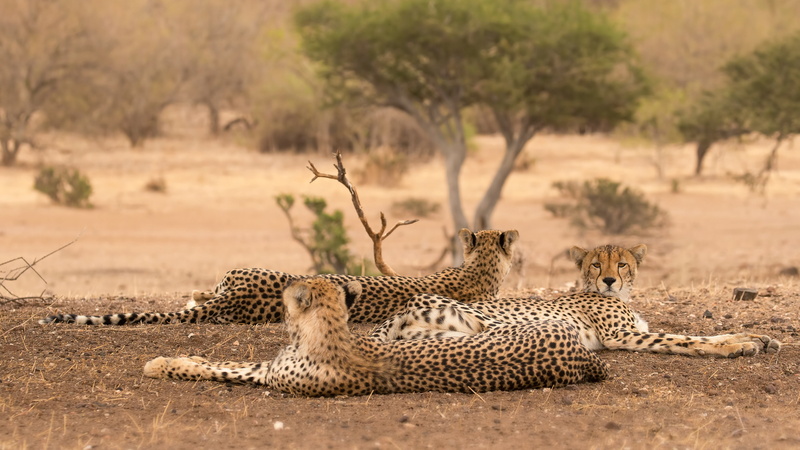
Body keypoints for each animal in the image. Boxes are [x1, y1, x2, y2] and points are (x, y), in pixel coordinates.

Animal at [143, 277, 609, 396]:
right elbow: (217, 362)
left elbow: (220, 368)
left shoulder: (270, 376)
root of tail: (581, 355)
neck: (330, 330)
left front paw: (162, 364)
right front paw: (180, 359)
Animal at [372, 244, 782, 358]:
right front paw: (739, 346)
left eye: (621, 263)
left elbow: (703, 334)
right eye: (596, 263)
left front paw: (757, 338)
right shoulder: (622, 336)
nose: (609, 279)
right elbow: (685, 340)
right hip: (483, 321)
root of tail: (404, 307)